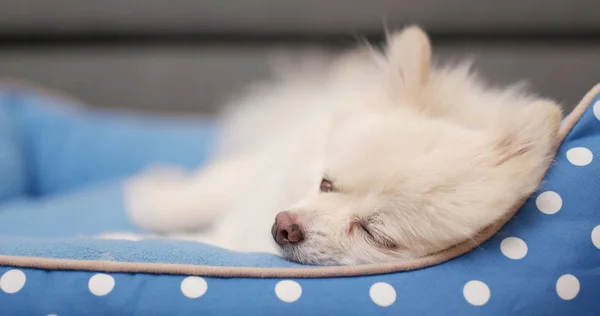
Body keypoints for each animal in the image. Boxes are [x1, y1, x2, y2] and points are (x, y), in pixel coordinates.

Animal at [111, 26, 564, 266]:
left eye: (375, 234)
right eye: (326, 183)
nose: (284, 224)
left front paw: (123, 239)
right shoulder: (263, 170)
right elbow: (200, 195)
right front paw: (148, 200)